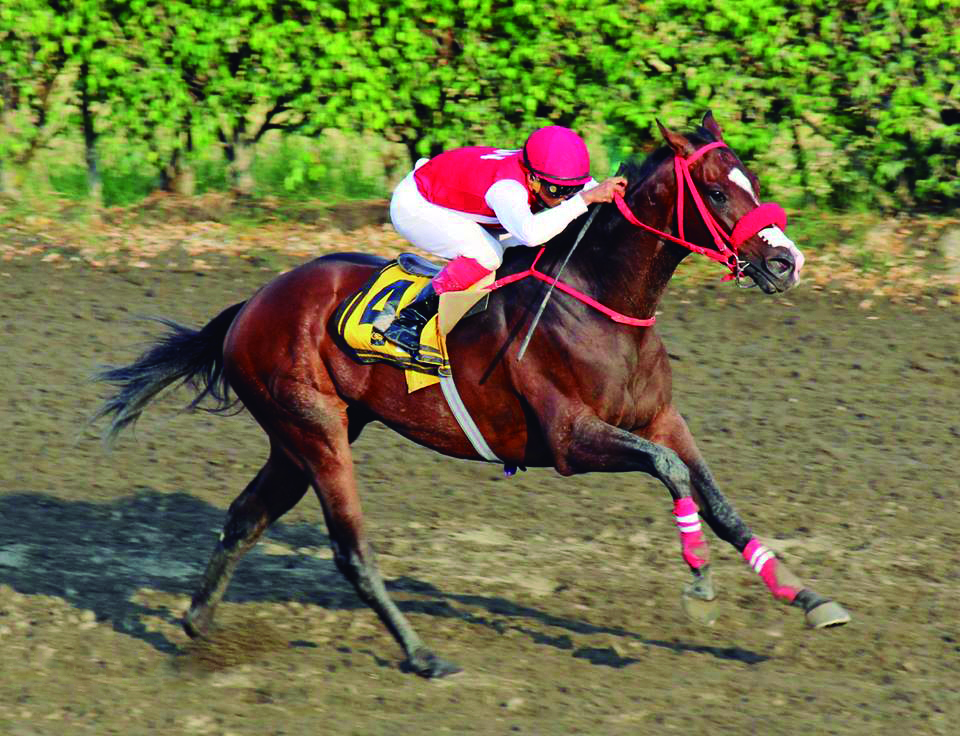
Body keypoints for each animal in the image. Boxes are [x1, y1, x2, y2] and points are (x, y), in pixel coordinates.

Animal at [94, 112, 850, 678]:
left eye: (755, 180)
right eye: (719, 193)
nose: (786, 262)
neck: (599, 302)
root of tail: (250, 305)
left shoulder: (662, 418)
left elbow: (716, 499)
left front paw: (808, 596)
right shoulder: (571, 441)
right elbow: (672, 477)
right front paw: (697, 584)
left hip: (299, 438)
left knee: (245, 516)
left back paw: (197, 620)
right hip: (316, 432)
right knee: (350, 549)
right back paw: (423, 656)